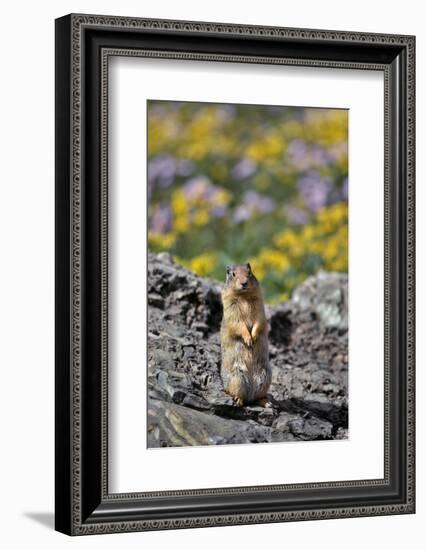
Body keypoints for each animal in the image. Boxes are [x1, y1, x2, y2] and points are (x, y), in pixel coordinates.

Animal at [221, 264, 272, 406]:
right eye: (232, 274)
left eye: (249, 272)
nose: (244, 283)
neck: (244, 295)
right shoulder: (230, 306)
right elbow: (238, 322)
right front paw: (249, 339)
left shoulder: (259, 305)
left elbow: (259, 320)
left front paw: (253, 336)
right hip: (238, 377)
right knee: (236, 393)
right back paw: (239, 400)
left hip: (265, 376)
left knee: (257, 397)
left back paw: (266, 402)